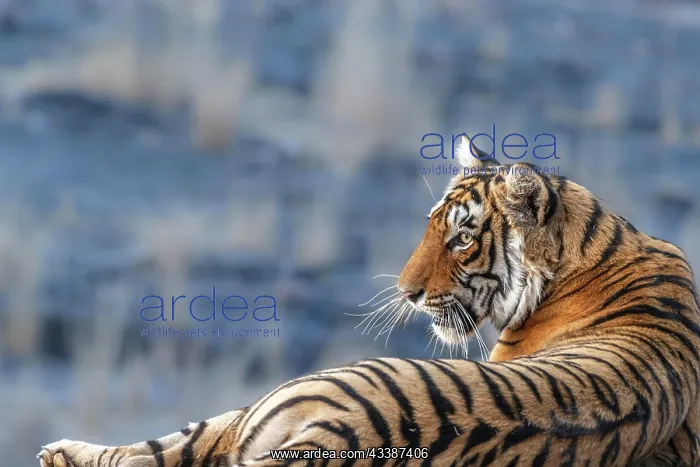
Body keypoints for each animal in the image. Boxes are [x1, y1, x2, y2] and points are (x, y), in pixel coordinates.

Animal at [38, 134, 700, 466]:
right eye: (433, 226)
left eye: (462, 238)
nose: (408, 294)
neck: (593, 244)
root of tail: (342, 438)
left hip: (287, 394)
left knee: (171, 446)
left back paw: (61, 452)